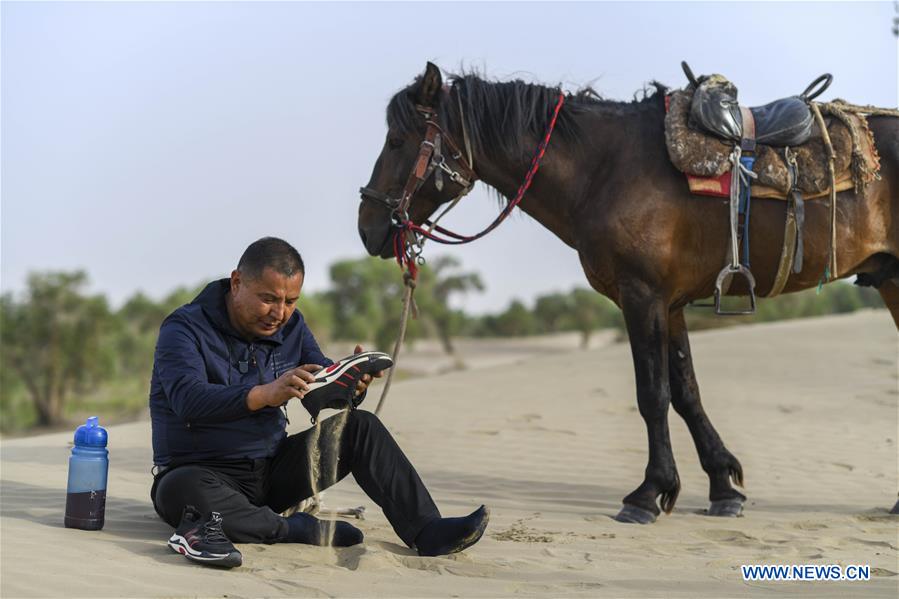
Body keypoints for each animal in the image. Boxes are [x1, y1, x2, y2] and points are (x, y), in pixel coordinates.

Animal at [356, 62, 899, 524]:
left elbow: (652, 395)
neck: (606, 168)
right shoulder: (670, 303)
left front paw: (648, 493)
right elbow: (686, 393)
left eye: (398, 139)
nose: (368, 226)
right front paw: (723, 486)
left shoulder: (642, 296)